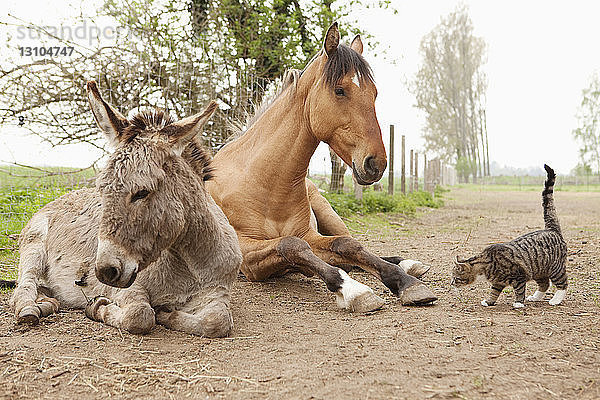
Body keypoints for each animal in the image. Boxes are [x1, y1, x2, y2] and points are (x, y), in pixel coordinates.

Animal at [207, 22, 436, 312]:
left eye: (374, 93)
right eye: (339, 90)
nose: (376, 163)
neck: (264, 182)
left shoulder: (310, 234)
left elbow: (348, 245)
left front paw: (405, 282)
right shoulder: (247, 254)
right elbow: (294, 246)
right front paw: (353, 290)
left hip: (329, 214)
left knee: (355, 244)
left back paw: (408, 265)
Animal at [452, 164, 568, 308]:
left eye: (455, 278)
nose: (451, 283)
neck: (485, 264)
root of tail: (552, 229)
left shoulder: (519, 276)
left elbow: (519, 290)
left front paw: (518, 303)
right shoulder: (498, 282)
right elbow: (494, 292)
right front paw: (489, 301)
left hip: (555, 269)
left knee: (563, 283)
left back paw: (556, 300)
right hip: (539, 270)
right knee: (544, 284)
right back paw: (535, 297)